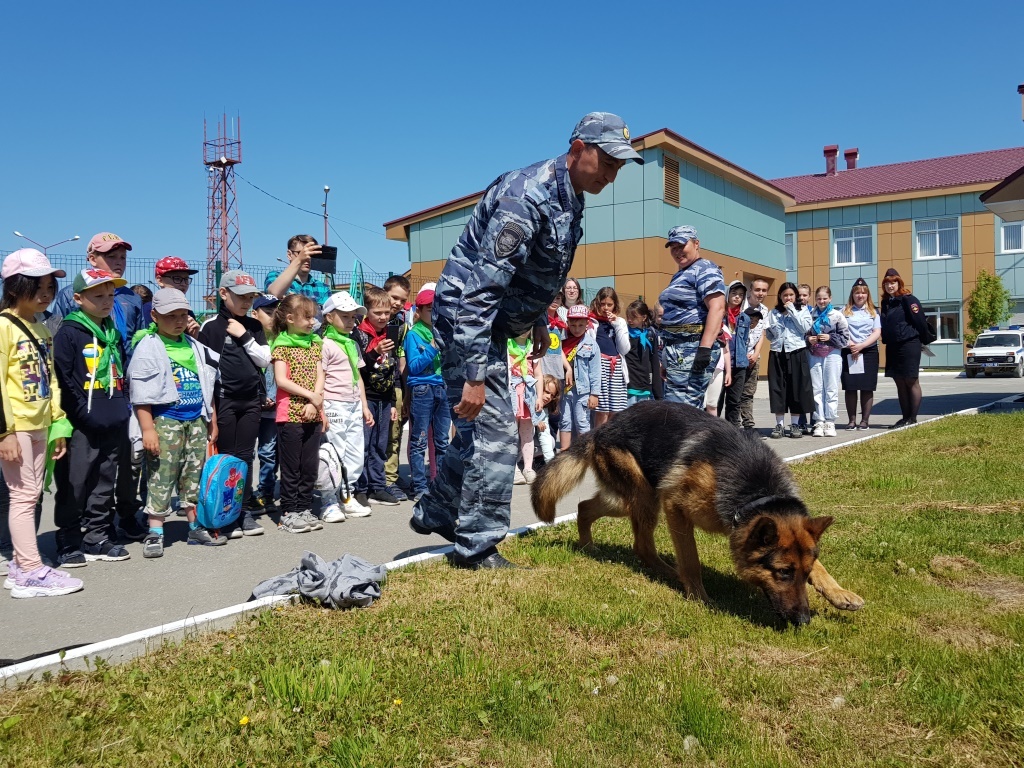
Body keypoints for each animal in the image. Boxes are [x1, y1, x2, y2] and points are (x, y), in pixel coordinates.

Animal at [536, 403, 864, 626]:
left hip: (628, 498)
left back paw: (588, 546)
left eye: (805, 574)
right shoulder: (676, 507)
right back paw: (670, 573)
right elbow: (691, 560)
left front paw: (840, 593)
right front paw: (699, 598)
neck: (756, 492)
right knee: (642, 545)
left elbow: (822, 568)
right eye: (783, 573)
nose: (804, 621)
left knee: (584, 508)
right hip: (646, 498)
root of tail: (600, 428)